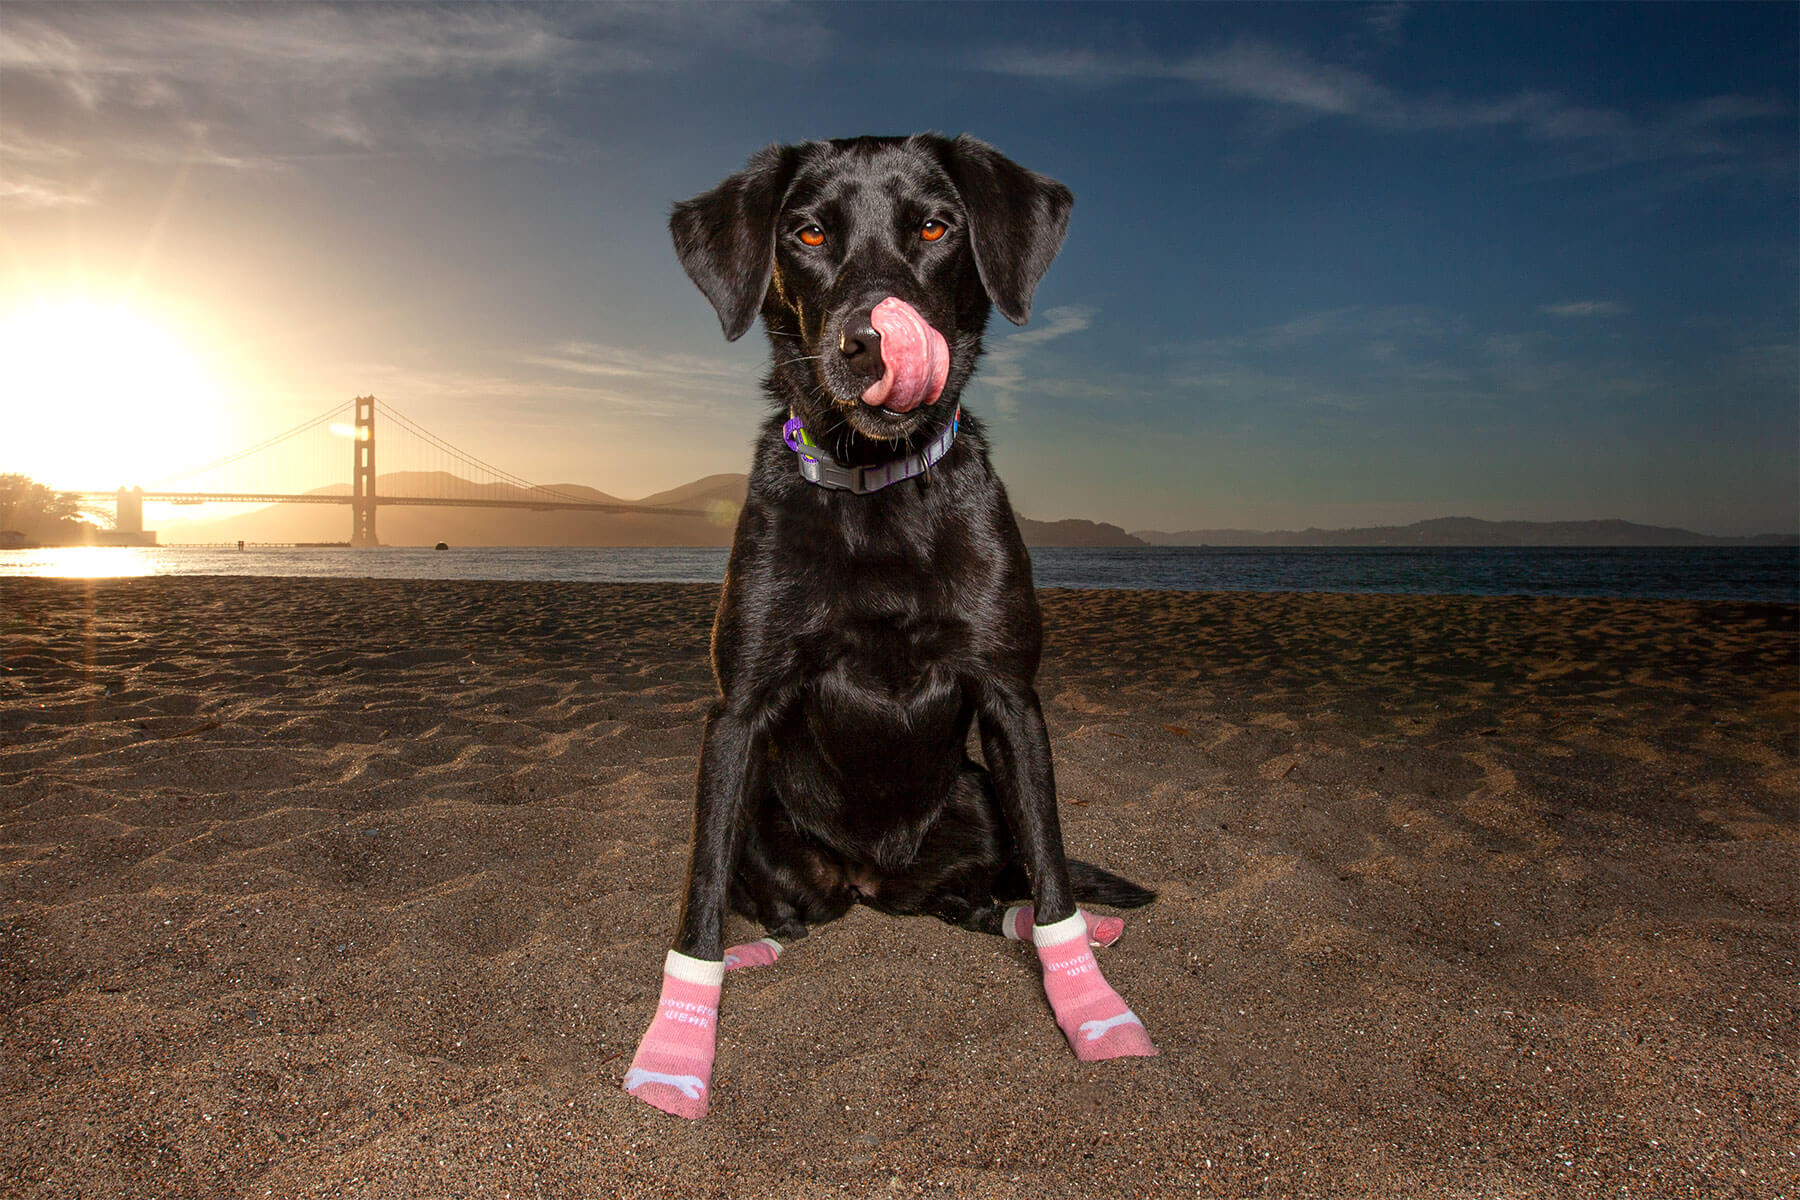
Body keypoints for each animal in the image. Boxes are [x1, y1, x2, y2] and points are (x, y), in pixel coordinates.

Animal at [626, 135, 1159, 1122]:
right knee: (788, 910)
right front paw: (677, 1050)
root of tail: (873, 879)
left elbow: (1053, 872)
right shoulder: (737, 715)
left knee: (995, 889)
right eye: (806, 232)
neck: (876, 488)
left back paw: (1018, 920)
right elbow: (701, 896)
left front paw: (1092, 1011)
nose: (869, 341)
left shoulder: (1012, 700)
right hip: (767, 818)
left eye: (936, 227)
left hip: (977, 794)